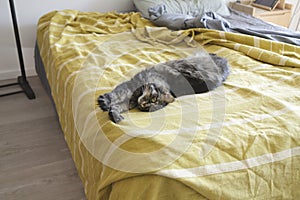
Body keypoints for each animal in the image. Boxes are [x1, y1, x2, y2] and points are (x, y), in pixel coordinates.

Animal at [97, 52, 229, 122]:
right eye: (152, 96)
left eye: (151, 106)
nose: (144, 103)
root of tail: (226, 62)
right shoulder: (129, 87)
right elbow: (114, 95)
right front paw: (104, 101)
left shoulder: (130, 102)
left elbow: (117, 106)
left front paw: (114, 115)